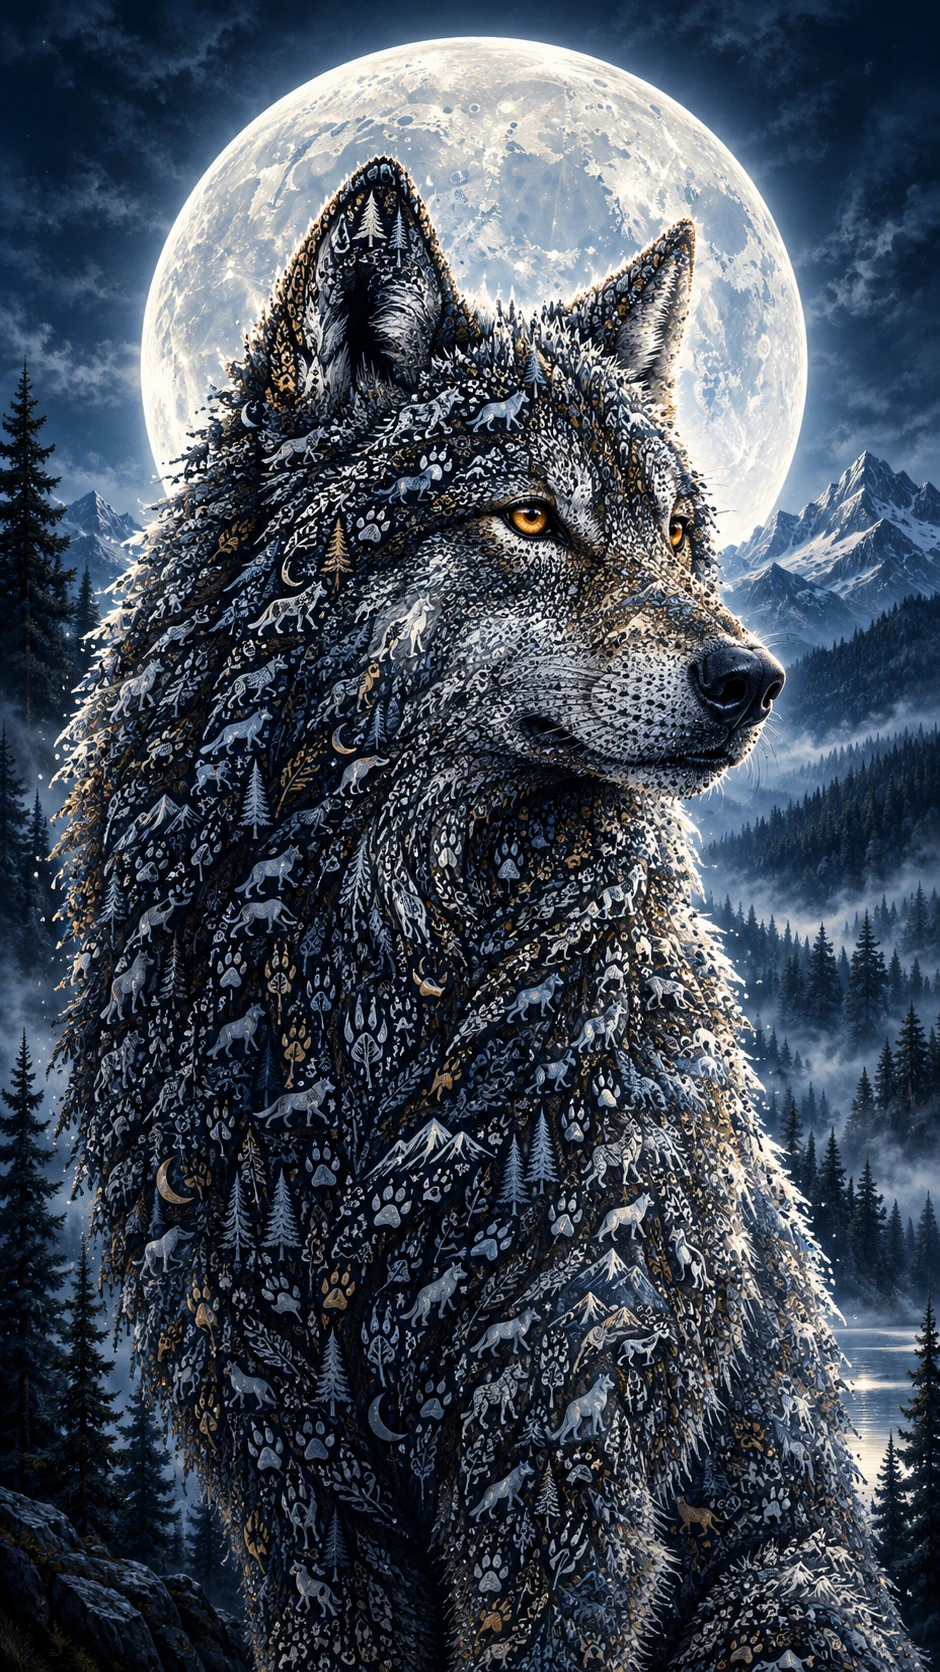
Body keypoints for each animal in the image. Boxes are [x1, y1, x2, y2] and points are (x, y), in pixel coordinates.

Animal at [56, 157, 919, 1671]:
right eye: (529, 518)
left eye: (679, 535)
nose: (753, 681)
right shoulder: (284, 1469)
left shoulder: (564, 1444)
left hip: (779, 1595)